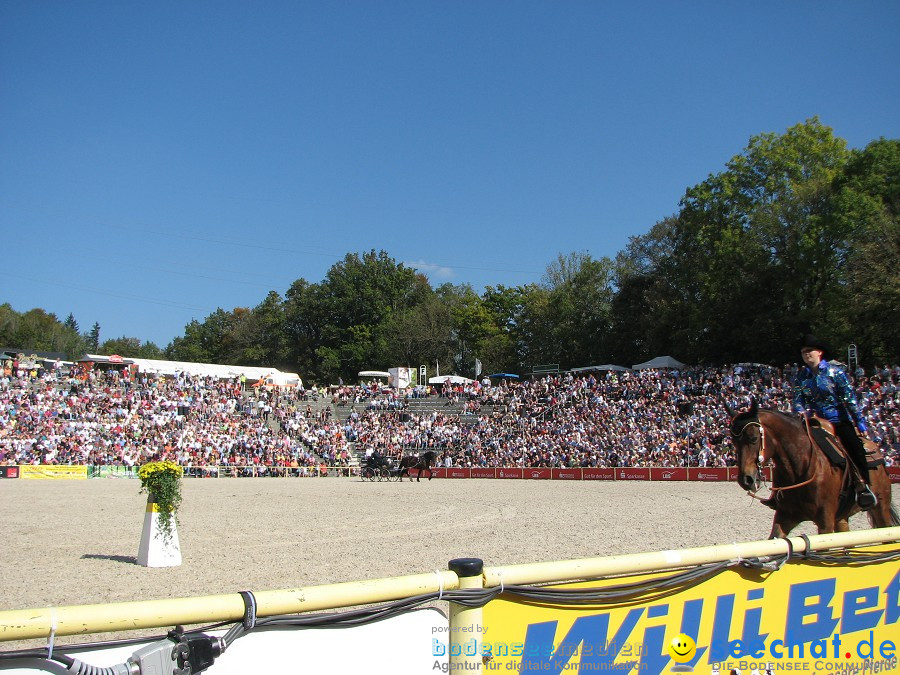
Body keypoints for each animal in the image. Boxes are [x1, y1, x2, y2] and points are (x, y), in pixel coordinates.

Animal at [728, 402, 896, 540]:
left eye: (753, 438)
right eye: (734, 442)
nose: (745, 479)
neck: (799, 469)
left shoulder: (825, 522)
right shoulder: (785, 516)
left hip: (881, 507)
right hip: (841, 518)